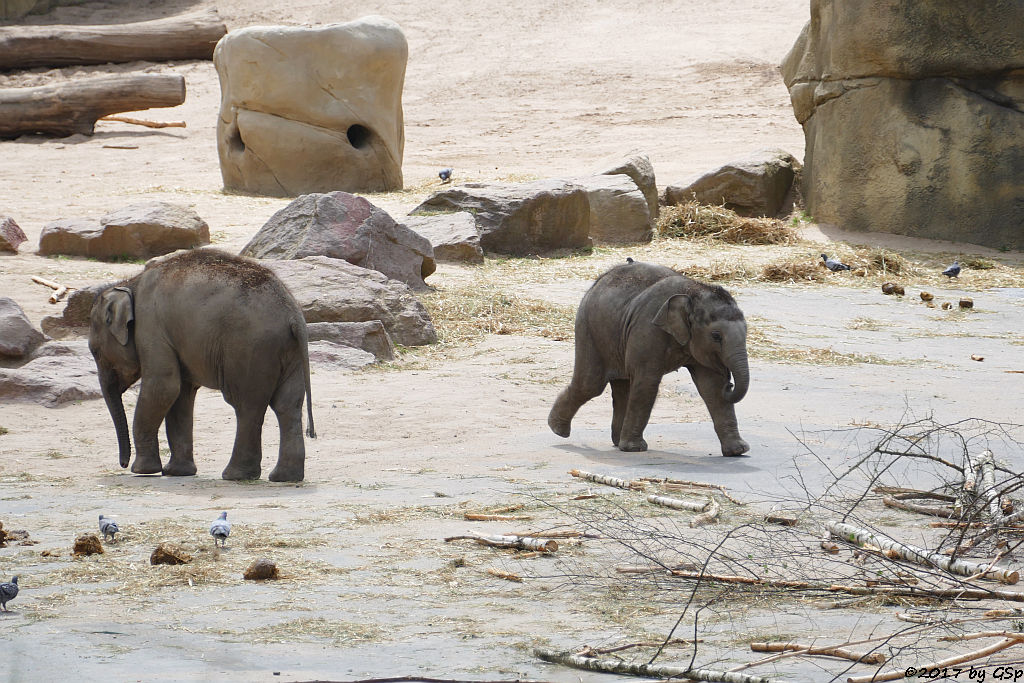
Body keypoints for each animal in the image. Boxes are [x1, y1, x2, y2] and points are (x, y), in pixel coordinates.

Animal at [91, 249, 315, 481]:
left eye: (95, 351)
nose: (123, 464)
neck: (130, 283)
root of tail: (293, 315)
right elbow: (181, 395)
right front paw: (176, 473)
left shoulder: (151, 326)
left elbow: (163, 388)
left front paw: (143, 471)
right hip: (289, 353)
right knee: (287, 405)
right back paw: (284, 476)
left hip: (249, 349)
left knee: (246, 405)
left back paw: (235, 475)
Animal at [548, 259, 749, 456]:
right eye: (716, 336)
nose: (729, 384)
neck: (694, 291)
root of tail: (600, 279)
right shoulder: (648, 328)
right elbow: (647, 381)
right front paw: (634, 449)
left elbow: (712, 386)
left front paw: (738, 451)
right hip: (589, 328)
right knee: (590, 385)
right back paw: (558, 430)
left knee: (622, 386)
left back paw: (616, 440)